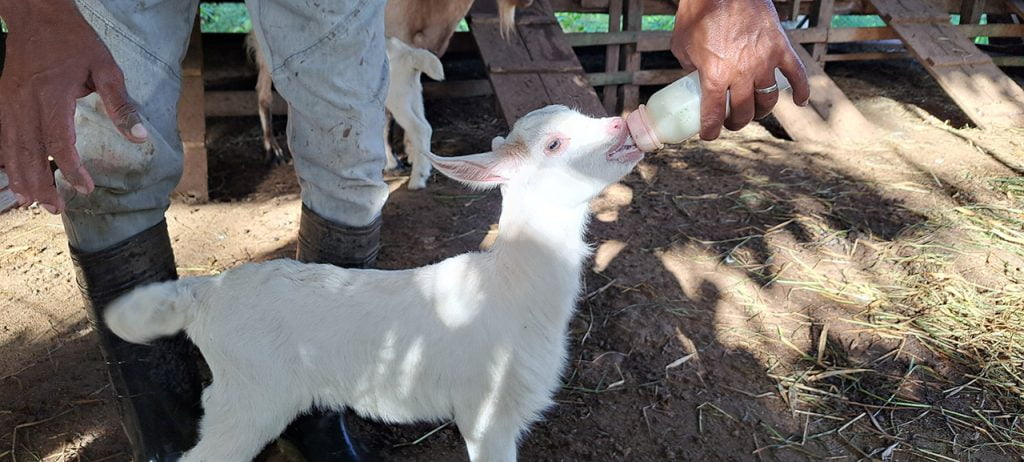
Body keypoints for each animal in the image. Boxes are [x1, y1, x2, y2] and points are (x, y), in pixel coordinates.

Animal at [108, 106, 643, 462]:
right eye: (554, 145)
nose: (623, 125)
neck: (511, 284)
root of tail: (205, 293)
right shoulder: (487, 414)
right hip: (249, 398)